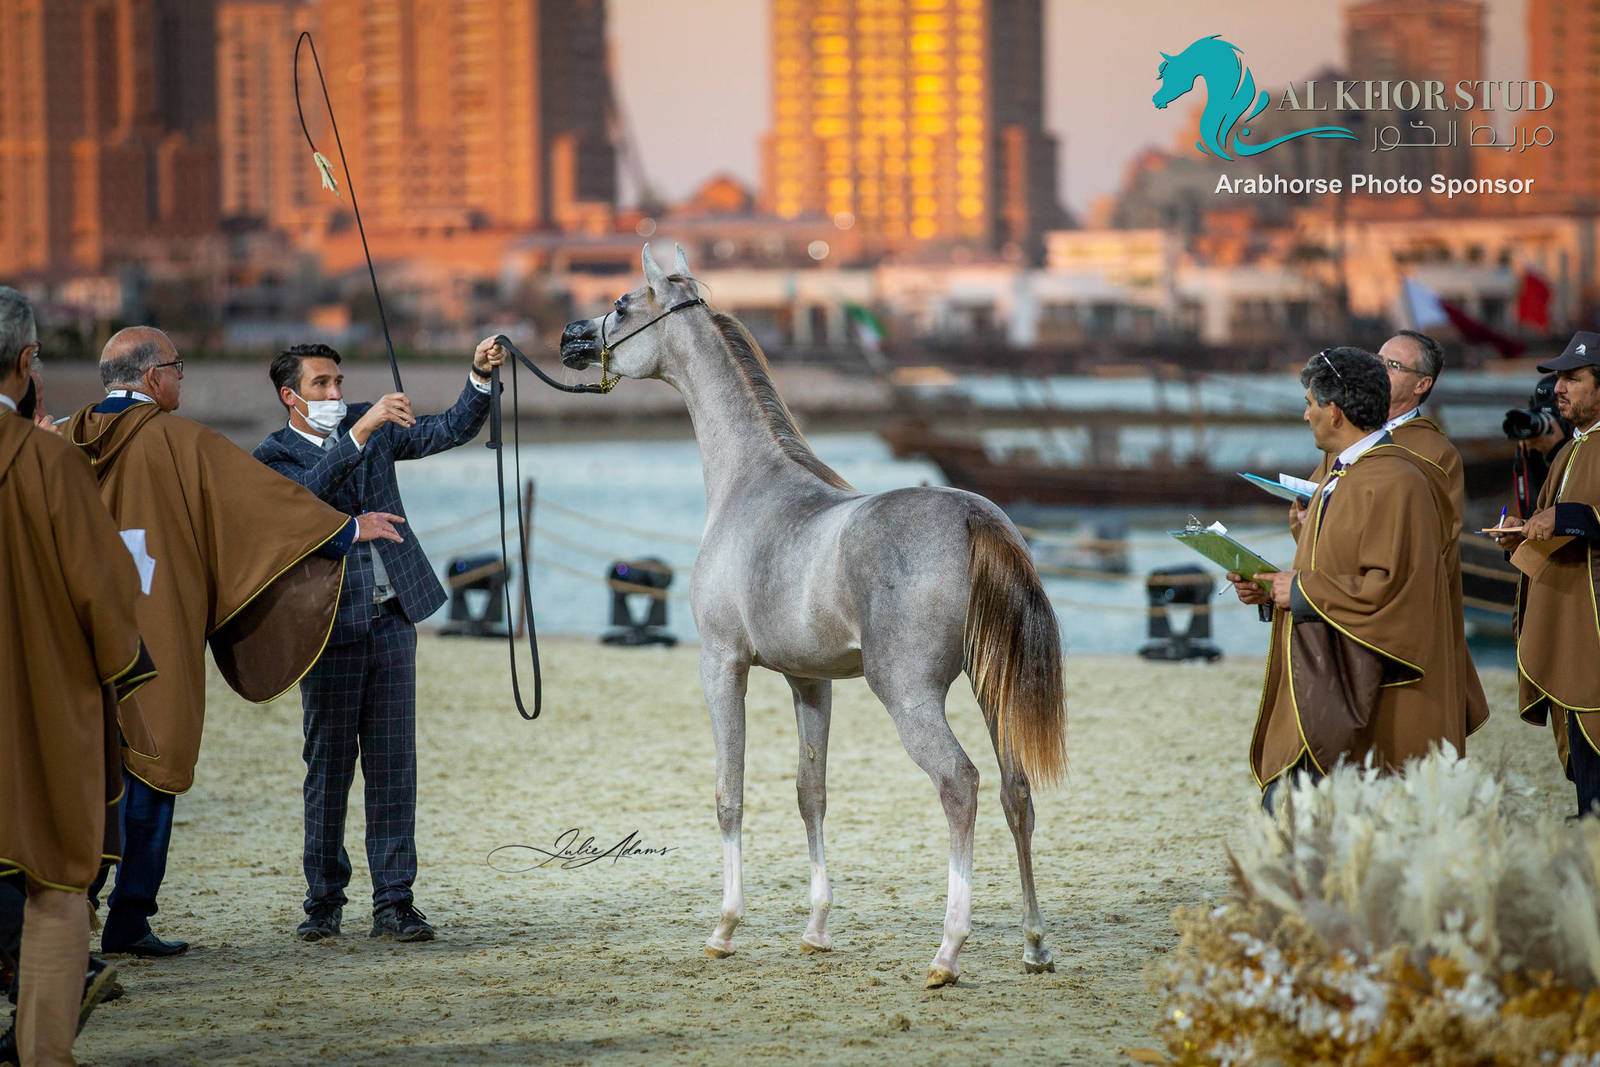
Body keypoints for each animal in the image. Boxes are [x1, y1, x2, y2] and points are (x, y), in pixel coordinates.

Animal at [558, 245, 1068, 989]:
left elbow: (729, 792)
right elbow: (812, 792)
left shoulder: (722, 664)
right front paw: (816, 928)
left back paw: (947, 951)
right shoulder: (811, 681)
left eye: (621, 305)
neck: (750, 486)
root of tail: (975, 516)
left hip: (910, 696)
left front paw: (725, 928)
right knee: (1016, 790)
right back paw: (1034, 943)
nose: (571, 338)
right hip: (989, 687)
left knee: (960, 784)